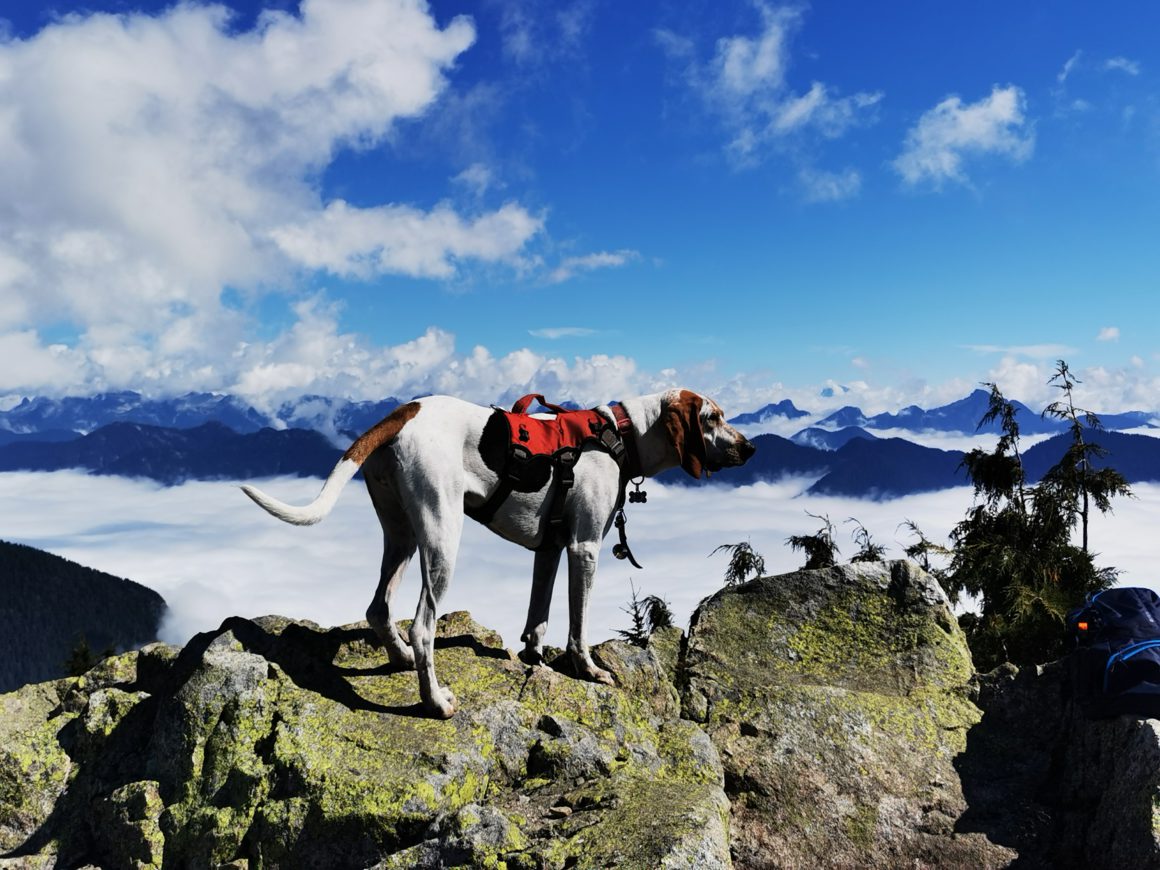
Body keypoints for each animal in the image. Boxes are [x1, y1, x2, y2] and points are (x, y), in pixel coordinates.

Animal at [240, 392, 756, 719]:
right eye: (711, 417)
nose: (750, 447)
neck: (620, 437)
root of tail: (405, 411)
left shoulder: (550, 550)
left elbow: (538, 617)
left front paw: (534, 657)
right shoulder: (583, 549)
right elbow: (578, 627)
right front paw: (588, 670)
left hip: (401, 533)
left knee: (379, 607)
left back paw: (401, 657)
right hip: (442, 536)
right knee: (423, 626)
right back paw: (434, 702)